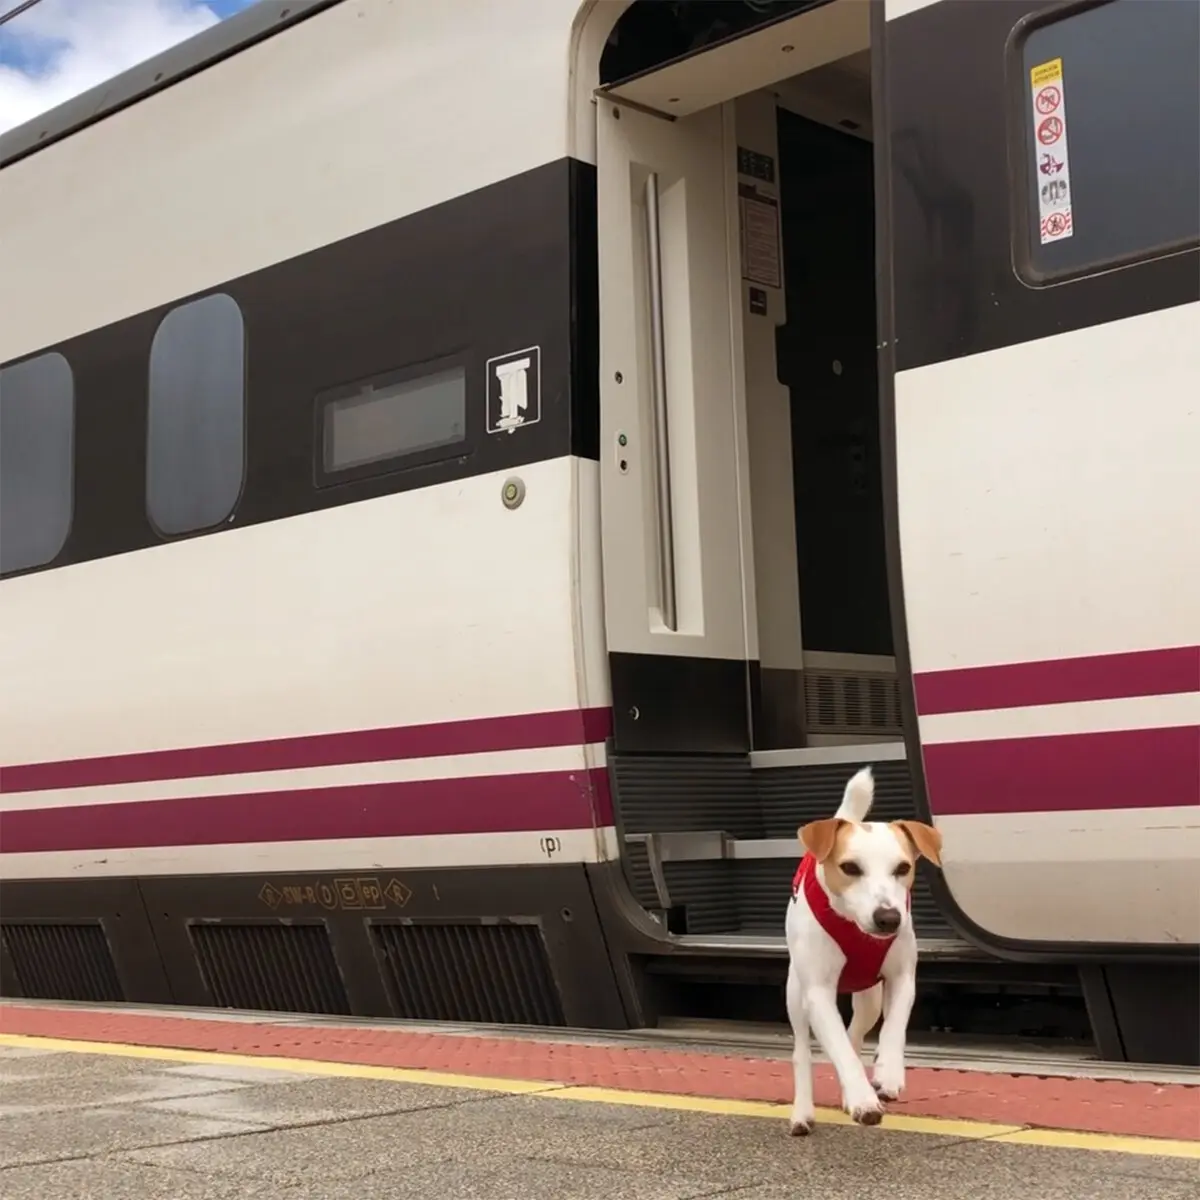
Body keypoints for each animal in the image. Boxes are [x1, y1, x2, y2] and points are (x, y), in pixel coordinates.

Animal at [787, 763, 945, 1137]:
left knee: (854, 1034)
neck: (856, 928)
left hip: (869, 998)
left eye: (903, 868)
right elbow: (838, 1050)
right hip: (795, 993)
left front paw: (887, 1073)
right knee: (803, 1051)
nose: (888, 918)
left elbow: (894, 1026)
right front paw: (862, 1100)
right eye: (850, 867)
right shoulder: (818, 993)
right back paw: (803, 1113)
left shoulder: (902, 978)